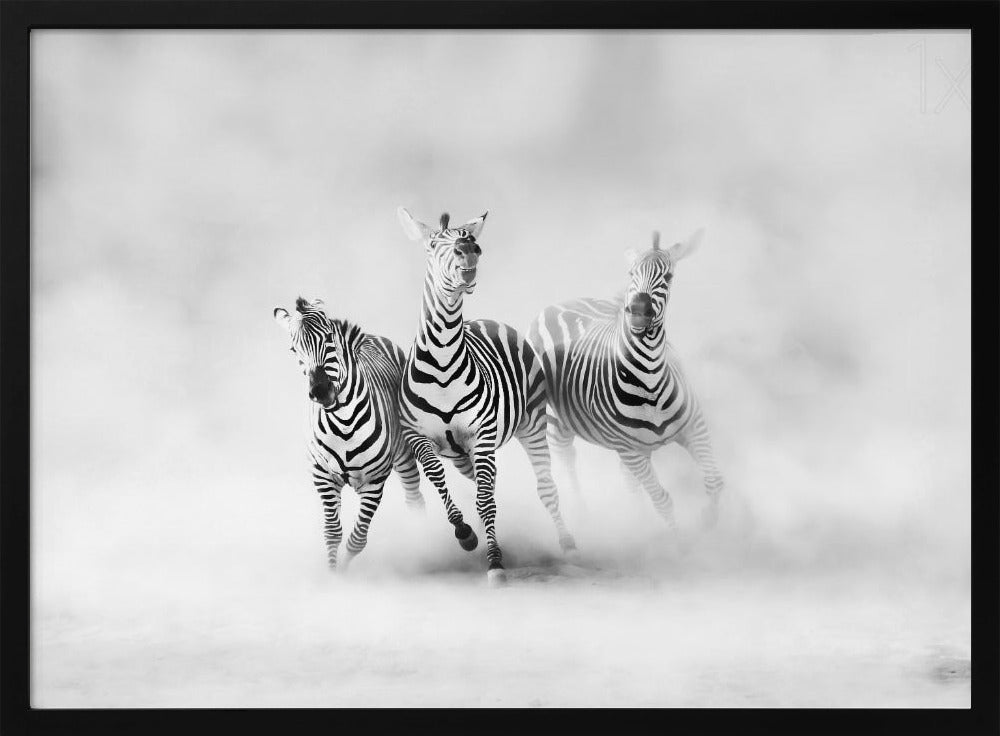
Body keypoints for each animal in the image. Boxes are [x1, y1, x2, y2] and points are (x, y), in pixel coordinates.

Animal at [273, 296, 425, 570]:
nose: (321, 391)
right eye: (293, 349)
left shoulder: (375, 480)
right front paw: (334, 574)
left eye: (329, 337)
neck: (344, 422)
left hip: (404, 455)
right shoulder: (322, 476)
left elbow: (357, 539)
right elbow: (332, 533)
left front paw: (343, 571)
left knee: (414, 499)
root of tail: (372, 337)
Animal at [396, 207, 576, 586]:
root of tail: (488, 320)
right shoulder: (420, 438)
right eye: (432, 244)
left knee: (544, 486)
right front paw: (466, 534)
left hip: (531, 424)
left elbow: (485, 501)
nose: (469, 250)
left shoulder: (481, 435)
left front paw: (495, 561)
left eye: (471, 240)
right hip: (463, 454)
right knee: (485, 484)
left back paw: (567, 543)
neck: (442, 362)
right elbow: (440, 482)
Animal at [527, 229, 724, 530]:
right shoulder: (628, 449)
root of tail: (559, 304)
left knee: (626, 478)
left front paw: (711, 522)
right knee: (566, 459)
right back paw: (583, 514)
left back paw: (637, 518)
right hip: (555, 421)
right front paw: (681, 540)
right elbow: (663, 501)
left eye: (668, 277)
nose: (639, 310)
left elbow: (714, 481)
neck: (650, 379)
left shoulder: (694, 426)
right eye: (631, 273)